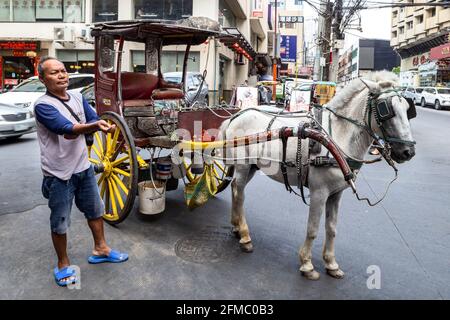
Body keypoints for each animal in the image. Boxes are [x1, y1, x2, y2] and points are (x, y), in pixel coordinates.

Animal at [218, 70, 414, 280]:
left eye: (407, 108)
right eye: (385, 109)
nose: (408, 152)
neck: (336, 137)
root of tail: (237, 115)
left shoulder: (336, 194)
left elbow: (331, 228)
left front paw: (331, 263)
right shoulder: (319, 192)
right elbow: (313, 228)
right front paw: (307, 263)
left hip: (252, 166)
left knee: (235, 188)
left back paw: (236, 226)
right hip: (243, 165)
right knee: (239, 193)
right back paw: (245, 235)